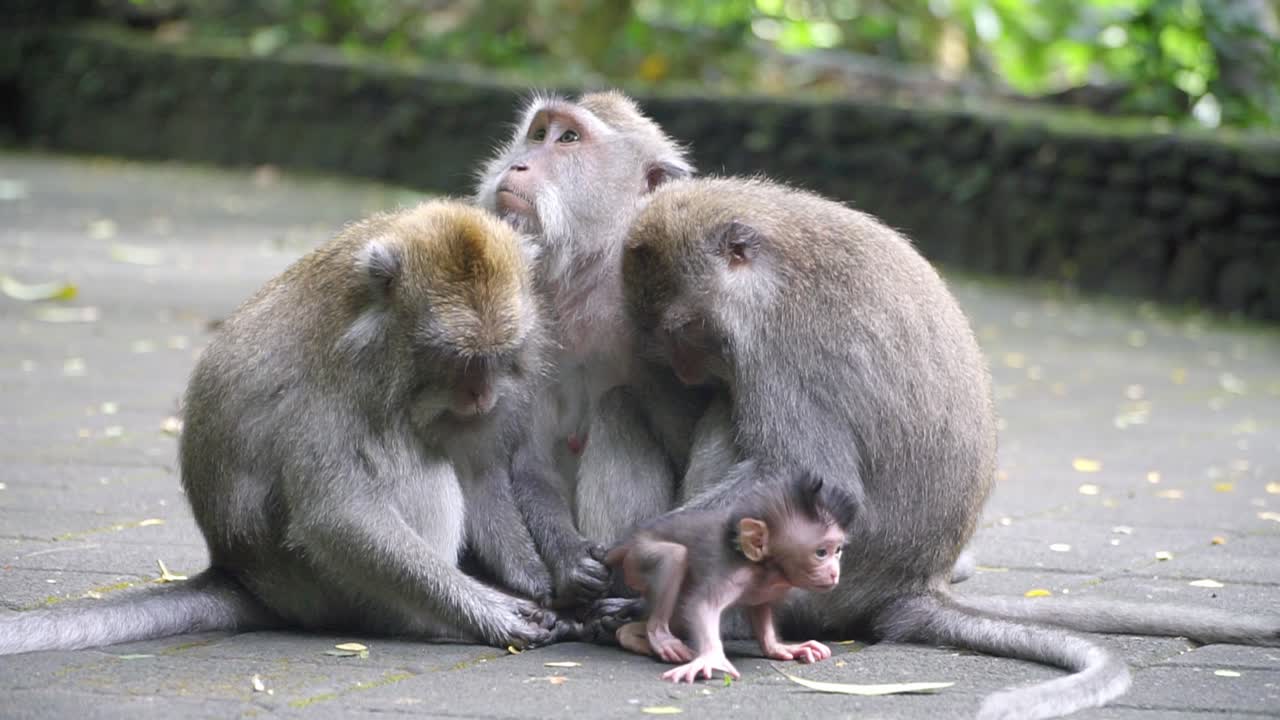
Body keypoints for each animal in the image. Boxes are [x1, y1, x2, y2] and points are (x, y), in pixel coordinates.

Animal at [0, 199, 579, 655]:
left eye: (496, 356)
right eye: (456, 359)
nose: (480, 395)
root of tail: (241, 575)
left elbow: (479, 472)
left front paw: (539, 581)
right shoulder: (340, 381)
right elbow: (338, 514)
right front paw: (491, 611)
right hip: (327, 591)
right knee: (416, 468)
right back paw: (428, 623)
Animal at [607, 473, 857, 683]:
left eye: (837, 551)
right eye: (821, 553)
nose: (834, 572)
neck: (766, 569)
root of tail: (633, 537)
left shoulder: (770, 587)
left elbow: (760, 608)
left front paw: (779, 648)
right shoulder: (735, 573)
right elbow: (703, 605)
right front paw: (711, 657)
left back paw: (633, 635)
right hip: (639, 556)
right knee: (674, 557)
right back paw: (660, 636)